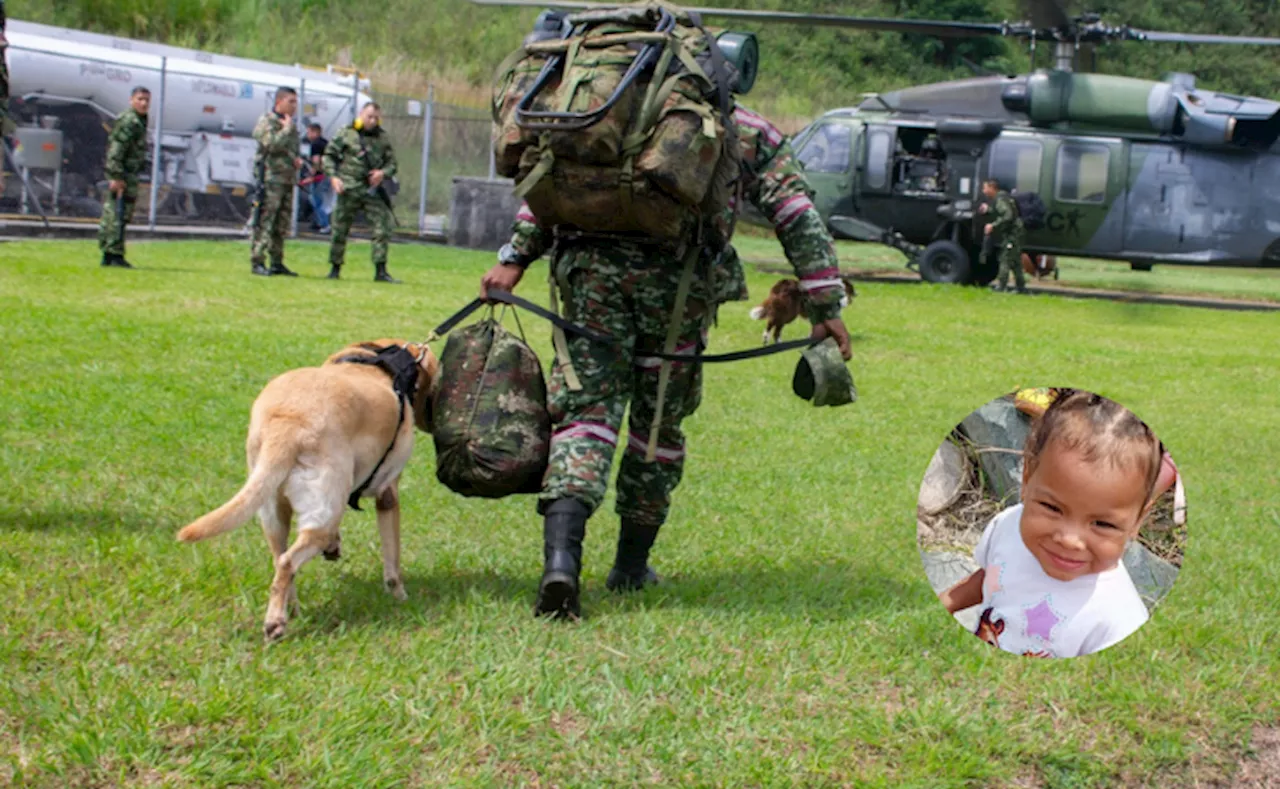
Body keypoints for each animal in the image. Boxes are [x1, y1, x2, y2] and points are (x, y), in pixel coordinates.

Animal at [175, 338, 437, 640]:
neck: (379, 361)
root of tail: (287, 424)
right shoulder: (388, 493)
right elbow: (392, 560)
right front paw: (399, 595)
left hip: (273, 510)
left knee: (279, 559)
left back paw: (291, 608)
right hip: (323, 507)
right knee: (288, 562)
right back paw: (275, 622)